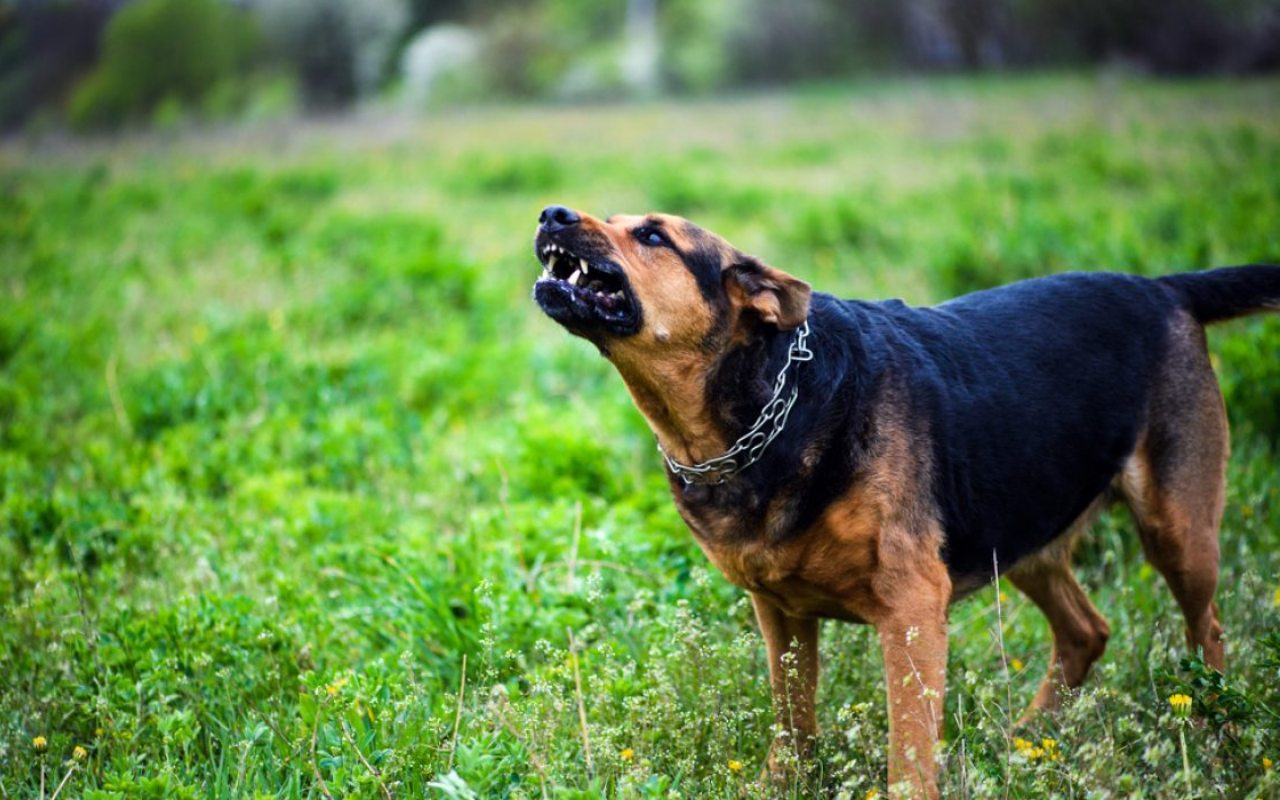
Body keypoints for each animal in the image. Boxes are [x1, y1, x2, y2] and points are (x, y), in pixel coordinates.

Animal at [527, 204, 1269, 793]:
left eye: (653, 235)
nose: (552, 214)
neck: (764, 406)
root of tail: (1163, 288)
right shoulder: (779, 613)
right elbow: (791, 721)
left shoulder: (911, 606)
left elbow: (908, 745)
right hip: (1021, 526)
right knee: (1087, 631)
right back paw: (1024, 740)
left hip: (1176, 528)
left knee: (1208, 630)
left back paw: (1218, 735)